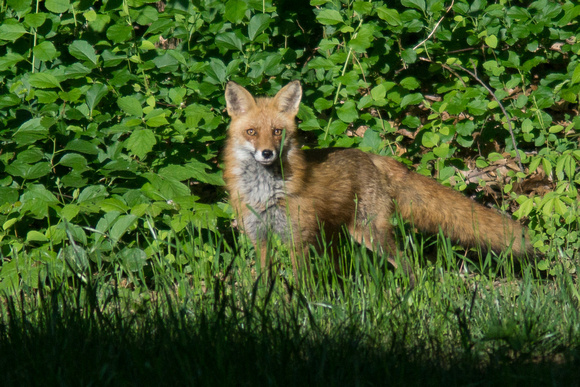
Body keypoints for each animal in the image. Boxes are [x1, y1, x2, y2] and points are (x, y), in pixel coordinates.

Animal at [224, 79, 532, 284]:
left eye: (277, 131)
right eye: (252, 132)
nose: (267, 153)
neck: (265, 193)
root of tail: (372, 156)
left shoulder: (296, 239)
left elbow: (301, 284)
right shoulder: (260, 239)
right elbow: (264, 282)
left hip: (371, 234)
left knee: (409, 266)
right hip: (336, 237)